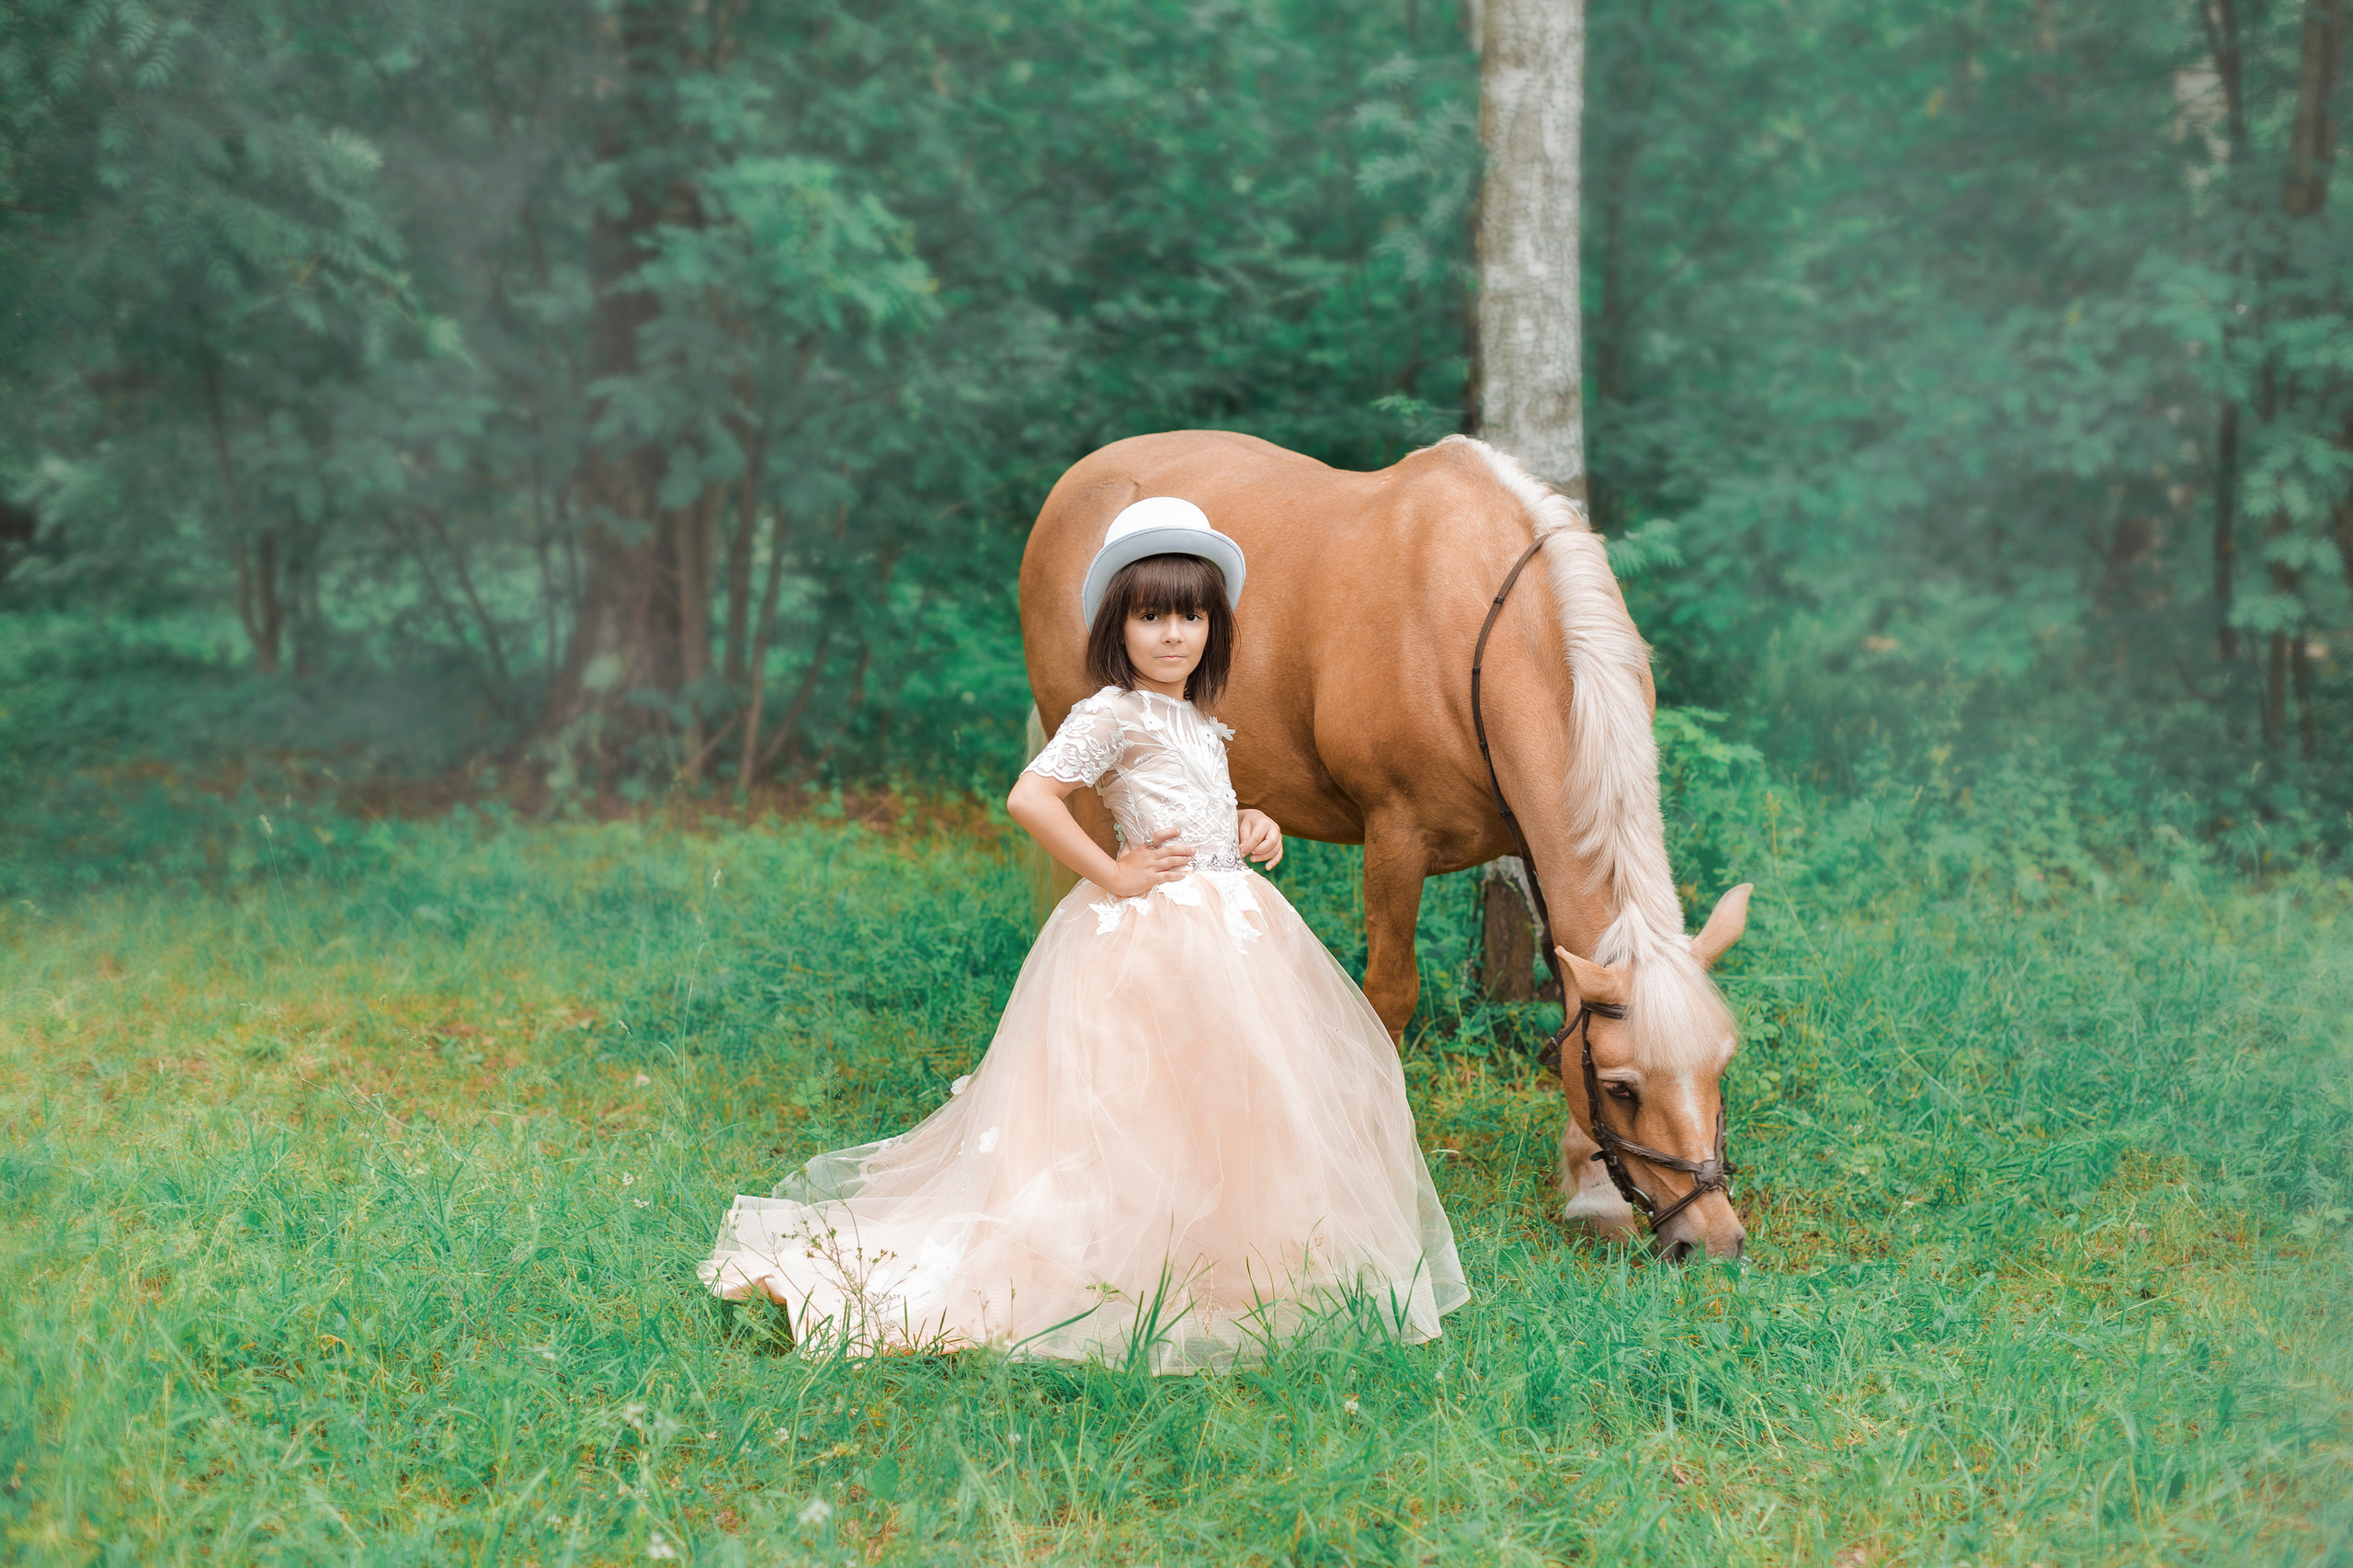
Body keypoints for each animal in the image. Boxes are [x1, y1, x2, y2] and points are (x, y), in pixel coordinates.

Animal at [1017, 429, 1753, 1260]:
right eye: (1624, 1088)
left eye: (1722, 1065)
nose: (1714, 1241)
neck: (1472, 623)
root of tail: (1081, 477)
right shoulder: (1396, 835)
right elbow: (1391, 995)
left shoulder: (1534, 843)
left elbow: (1570, 992)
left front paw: (1592, 1190)